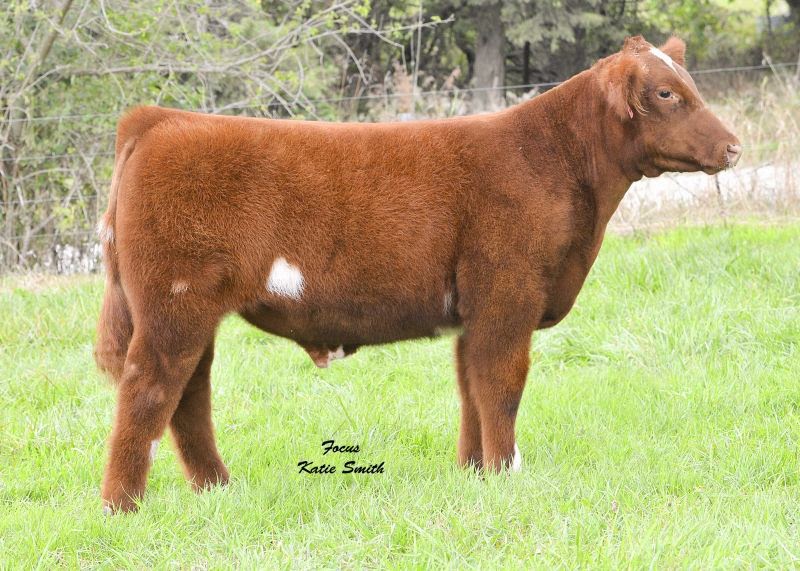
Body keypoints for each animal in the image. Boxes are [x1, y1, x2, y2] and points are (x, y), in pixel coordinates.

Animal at [94, 35, 741, 513]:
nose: (734, 147)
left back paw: (218, 489)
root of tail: (160, 120)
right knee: (150, 390)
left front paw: (475, 473)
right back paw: (122, 507)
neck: (553, 160)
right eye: (666, 92)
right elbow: (502, 385)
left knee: (189, 395)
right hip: (174, 303)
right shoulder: (509, 295)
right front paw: (506, 474)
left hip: (190, 312)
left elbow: (471, 387)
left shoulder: (475, 313)